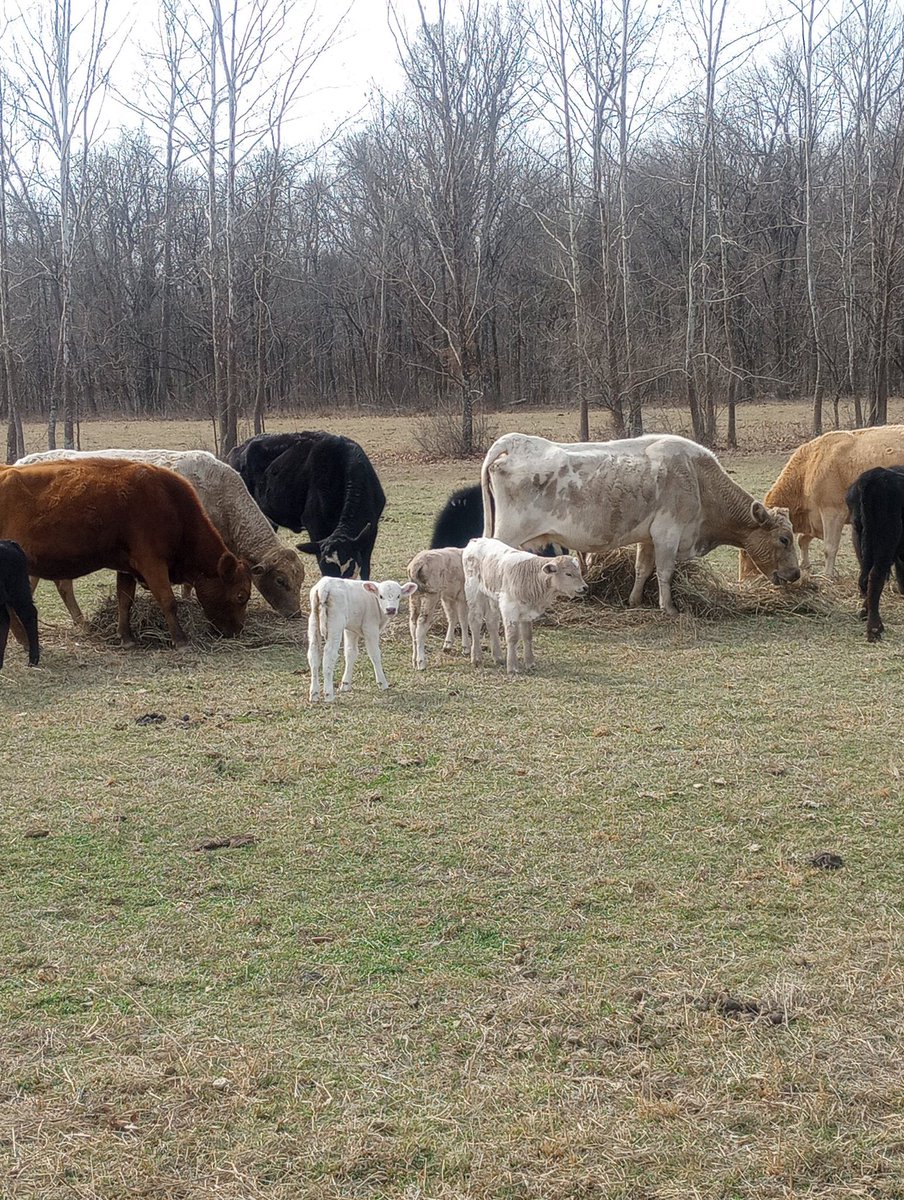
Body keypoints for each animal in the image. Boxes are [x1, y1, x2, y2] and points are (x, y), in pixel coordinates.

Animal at [0, 460, 252, 648]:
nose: (237, 630)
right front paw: (181, 640)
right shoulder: (152, 563)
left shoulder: (128, 567)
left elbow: (125, 600)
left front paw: (127, 637)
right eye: (241, 595)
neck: (169, 501)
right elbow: (168, 601)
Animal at [463, 537, 587, 675]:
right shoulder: (509, 608)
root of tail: (476, 540)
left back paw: (498, 657)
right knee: (475, 621)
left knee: (492, 622)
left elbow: (527, 636)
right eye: (568, 574)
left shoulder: (527, 611)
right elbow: (512, 637)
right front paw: (512, 666)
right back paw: (477, 658)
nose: (585, 588)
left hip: (492, 597)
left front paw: (530, 662)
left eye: (579, 572)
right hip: (473, 592)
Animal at [481, 432, 800, 616]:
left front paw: (634, 600)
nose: (796, 574)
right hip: (509, 532)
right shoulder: (668, 533)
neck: (698, 479)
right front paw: (669, 608)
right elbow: (665, 572)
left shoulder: (649, 537)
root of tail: (515, 440)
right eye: (784, 538)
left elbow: (643, 568)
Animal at [739, 426, 904, 581]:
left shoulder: (832, 512)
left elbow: (829, 547)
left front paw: (827, 576)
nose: (743, 579)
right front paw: (805, 566)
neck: (807, 472)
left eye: (746, 550)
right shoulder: (814, 520)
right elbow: (802, 539)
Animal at [845, 466, 904, 642]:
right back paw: (874, 629)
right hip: (886, 539)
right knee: (875, 576)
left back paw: (866, 613)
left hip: (858, 535)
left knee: (865, 578)